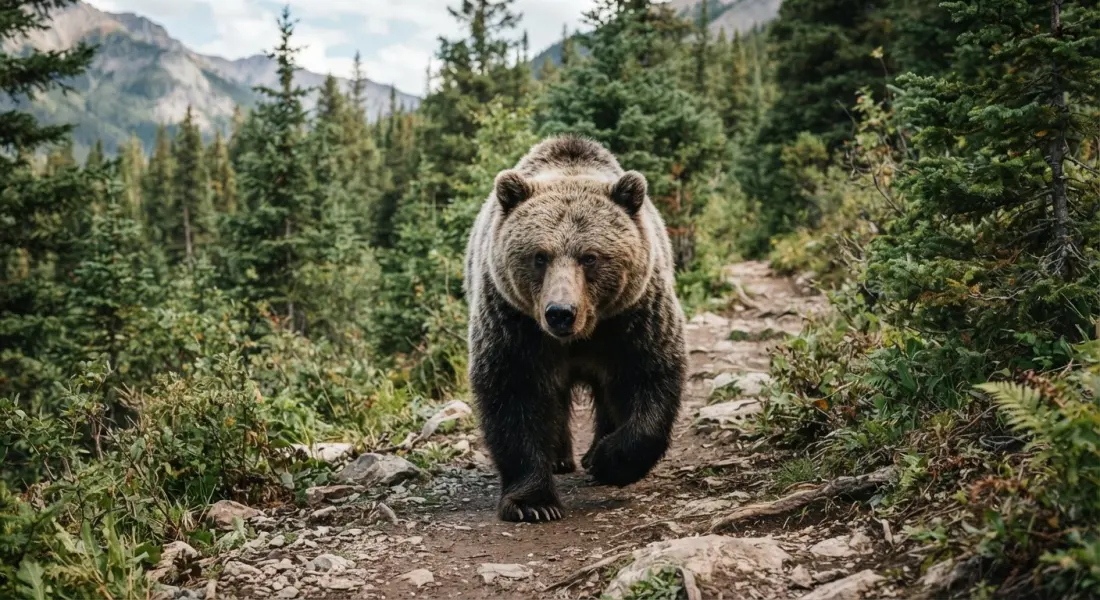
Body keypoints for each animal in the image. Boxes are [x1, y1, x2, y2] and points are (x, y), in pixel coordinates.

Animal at [464, 135, 686, 523]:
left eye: (590, 257)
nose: (560, 313)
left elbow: (651, 375)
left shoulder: (632, 319)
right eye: (539, 256)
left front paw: (608, 461)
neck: (582, 336)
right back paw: (560, 457)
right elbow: (513, 392)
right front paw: (534, 502)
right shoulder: (515, 324)